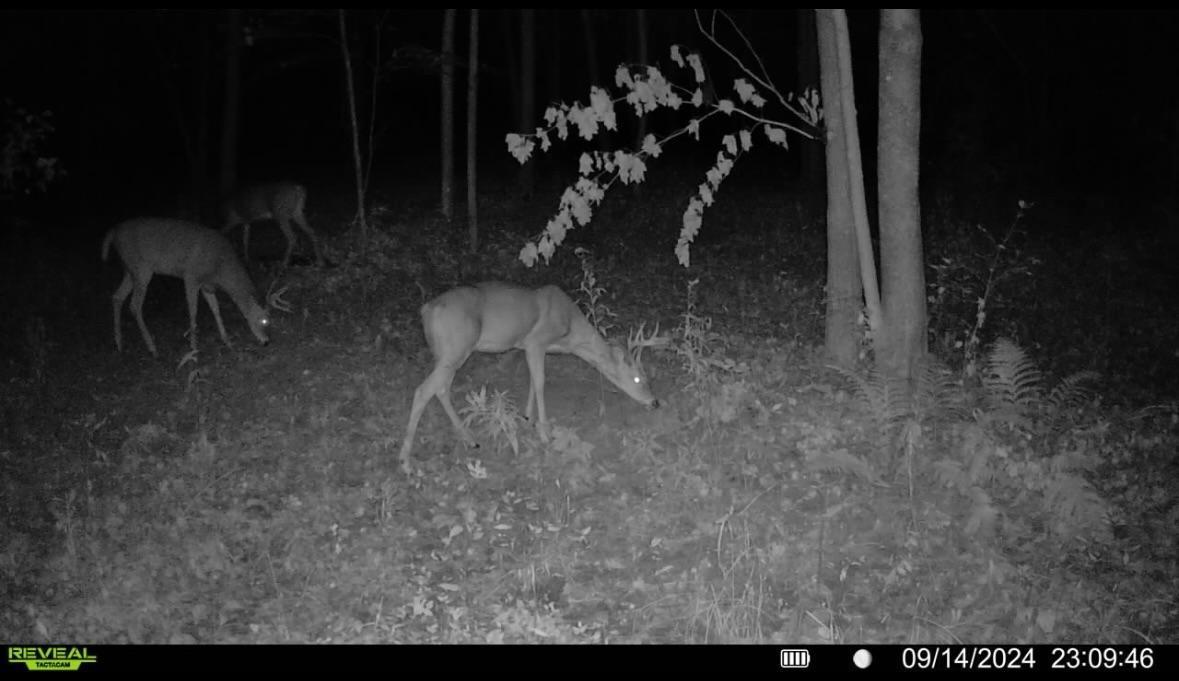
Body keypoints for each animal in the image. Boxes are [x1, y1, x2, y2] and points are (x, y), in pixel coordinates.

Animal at [102, 217, 289, 357]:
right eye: (264, 320)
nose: (266, 341)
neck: (220, 269)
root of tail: (113, 233)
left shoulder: (207, 285)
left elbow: (216, 309)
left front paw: (227, 341)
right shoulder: (191, 276)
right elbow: (193, 311)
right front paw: (193, 348)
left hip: (129, 269)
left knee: (117, 297)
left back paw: (119, 344)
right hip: (141, 268)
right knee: (134, 305)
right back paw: (152, 348)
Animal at [398, 282, 667, 473]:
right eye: (638, 379)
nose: (655, 402)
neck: (570, 332)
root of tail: (426, 310)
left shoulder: (530, 347)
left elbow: (531, 381)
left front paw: (527, 417)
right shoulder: (537, 341)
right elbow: (540, 382)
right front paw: (545, 433)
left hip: (444, 353)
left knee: (440, 389)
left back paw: (470, 439)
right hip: (456, 348)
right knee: (423, 390)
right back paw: (406, 460)